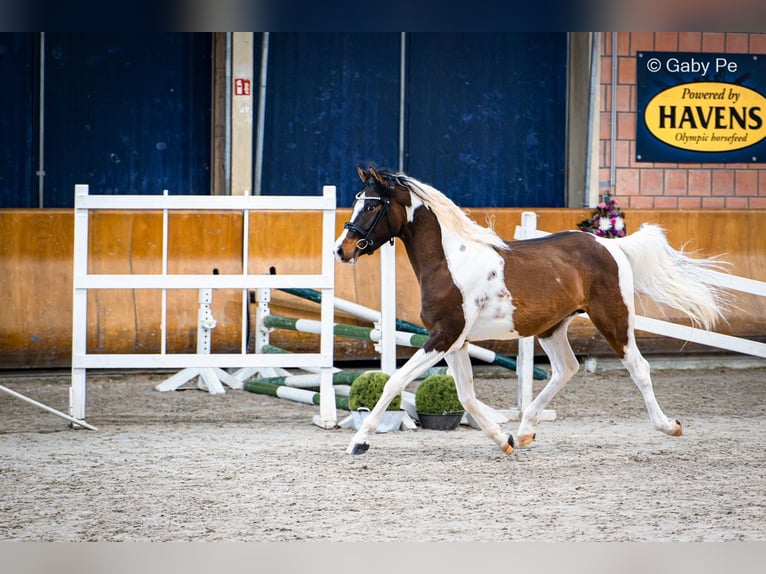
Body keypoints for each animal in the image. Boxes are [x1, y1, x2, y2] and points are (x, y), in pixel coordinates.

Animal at [335, 166, 727, 456]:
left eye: (371, 206)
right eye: (358, 203)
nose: (342, 249)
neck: (450, 262)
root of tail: (610, 245)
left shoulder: (444, 336)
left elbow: (395, 382)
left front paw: (359, 442)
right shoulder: (456, 341)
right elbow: (466, 396)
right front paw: (504, 440)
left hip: (613, 318)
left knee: (638, 368)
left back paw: (669, 425)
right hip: (552, 328)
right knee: (566, 369)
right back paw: (524, 432)